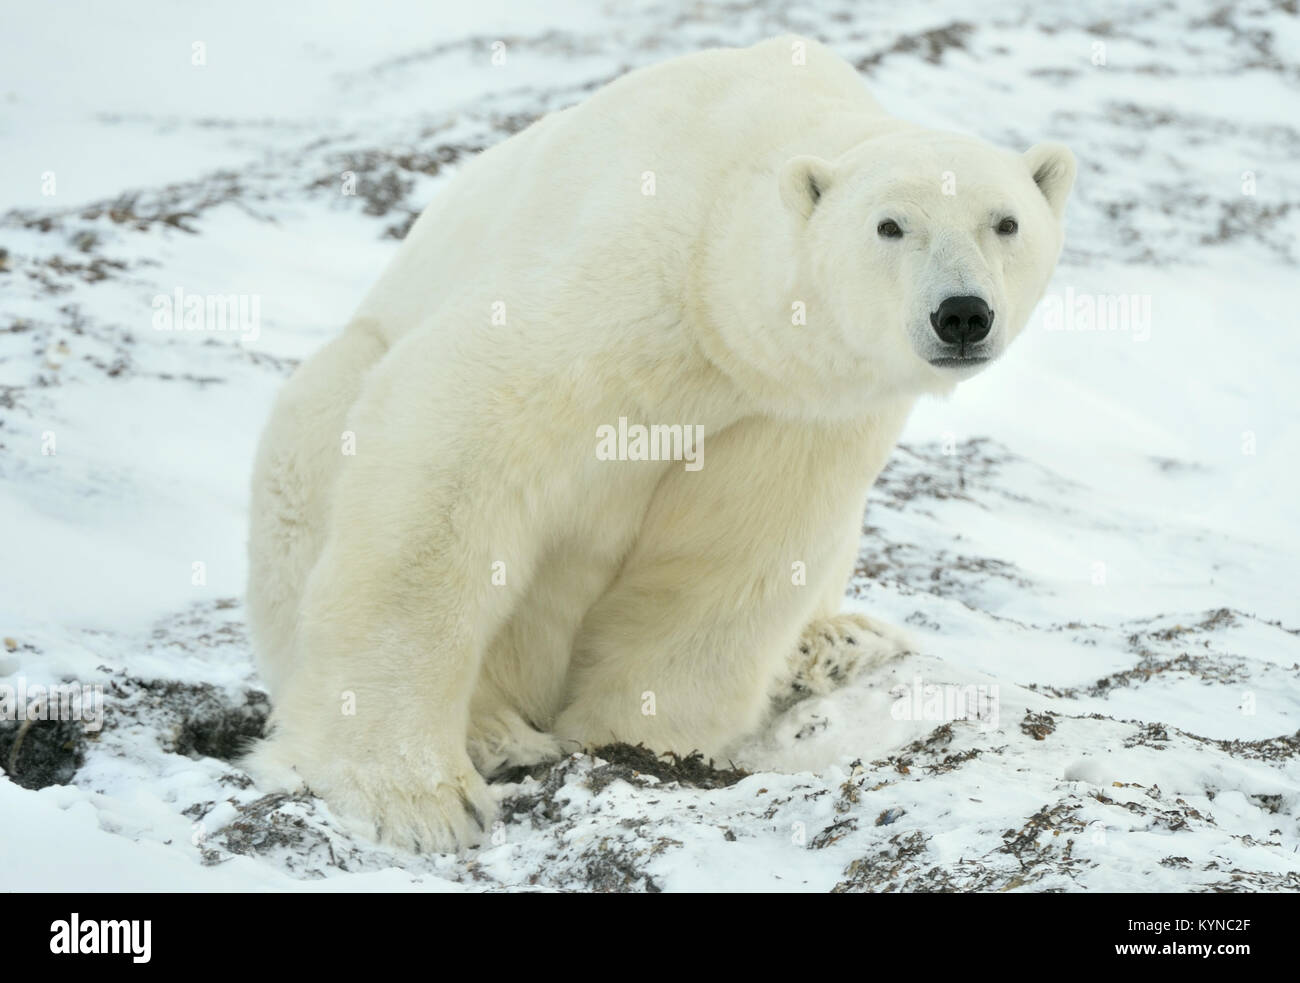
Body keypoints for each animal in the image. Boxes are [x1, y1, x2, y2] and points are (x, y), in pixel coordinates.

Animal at [244, 36, 1076, 852]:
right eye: (890, 225)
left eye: (1005, 222)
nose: (962, 313)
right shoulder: (620, 286)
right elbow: (453, 449)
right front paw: (418, 799)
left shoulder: (792, 413)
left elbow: (732, 552)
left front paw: (634, 739)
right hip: (335, 397)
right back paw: (497, 732)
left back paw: (836, 642)